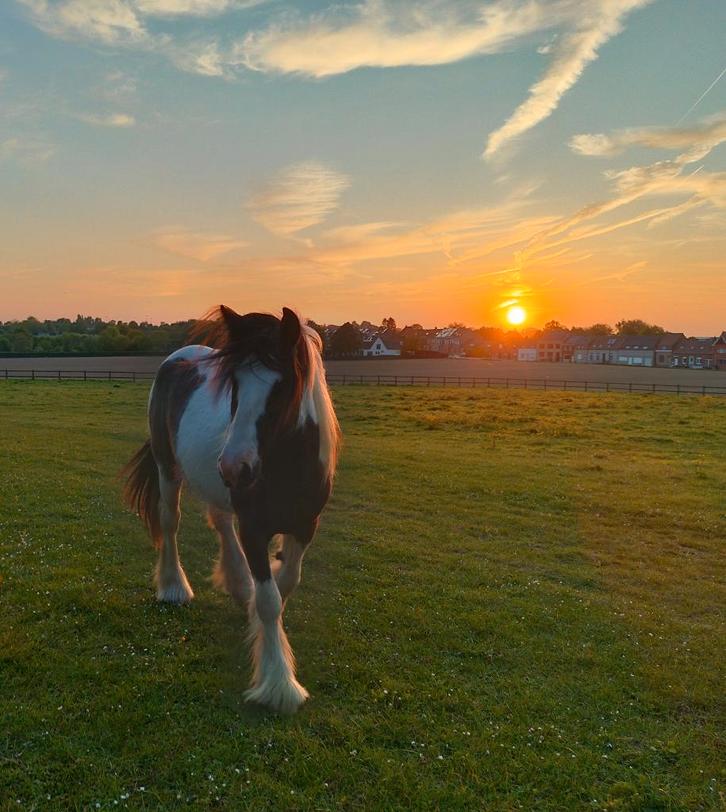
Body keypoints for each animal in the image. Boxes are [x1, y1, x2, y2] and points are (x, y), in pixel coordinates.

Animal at [122, 305, 340, 714]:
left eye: (282, 386)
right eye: (234, 384)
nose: (235, 466)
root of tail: (177, 357)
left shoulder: (306, 526)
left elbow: (286, 583)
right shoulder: (254, 528)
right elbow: (270, 601)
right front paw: (278, 684)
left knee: (220, 522)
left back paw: (238, 584)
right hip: (167, 468)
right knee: (170, 523)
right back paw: (174, 587)